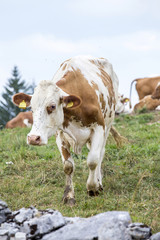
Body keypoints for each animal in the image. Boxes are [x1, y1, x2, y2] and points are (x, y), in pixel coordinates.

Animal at [12, 55, 119, 204]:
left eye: (52, 106)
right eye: (31, 108)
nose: (33, 138)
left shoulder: (99, 127)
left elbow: (93, 160)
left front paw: (92, 188)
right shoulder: (60, 134)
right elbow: (68, 166)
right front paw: (68, 196)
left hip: (108, 124)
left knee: (100, 153)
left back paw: (99, 183)